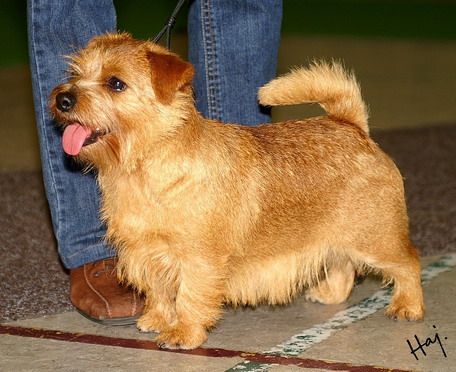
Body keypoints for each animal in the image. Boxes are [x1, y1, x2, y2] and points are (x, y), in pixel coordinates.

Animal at [50, 32, 424, 348]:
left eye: (116, 83)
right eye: (75, 73)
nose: (63, 98)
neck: (143, 167)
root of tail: (351, 126)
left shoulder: (198, 258)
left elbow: (189, 296)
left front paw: (183, 333)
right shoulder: (145, 250)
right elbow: (158, 290)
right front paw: (156, 319)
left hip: (375, 237)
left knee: (408, 262)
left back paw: (408, 307)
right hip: (333, 234)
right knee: (342, 264)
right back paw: (329, 294)